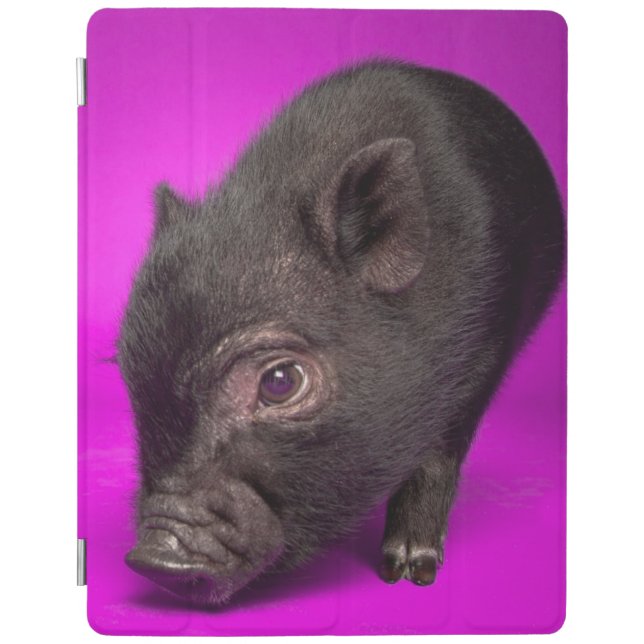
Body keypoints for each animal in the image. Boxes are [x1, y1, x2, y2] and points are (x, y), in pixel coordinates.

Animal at [118, 60, 564, 606]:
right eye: (131, 376)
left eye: (281, 381)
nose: (151, 557)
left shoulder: (483, 358)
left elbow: (436, 458)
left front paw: (407, 572)